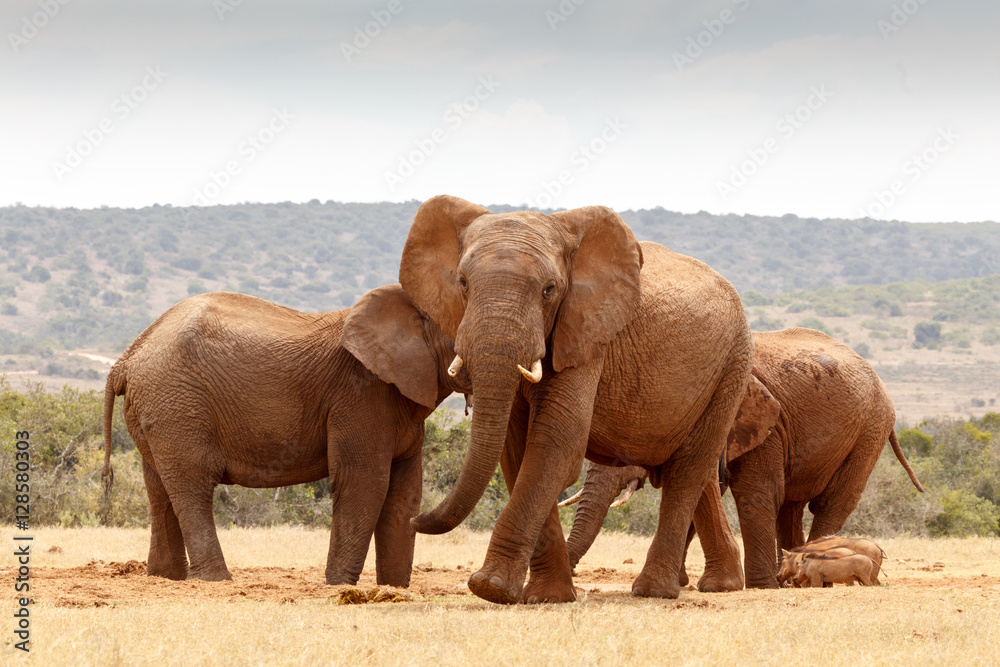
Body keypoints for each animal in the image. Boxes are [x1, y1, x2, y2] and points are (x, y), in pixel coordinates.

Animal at [102, 284, 472, 588]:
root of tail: (126, 358)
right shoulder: (360, 395)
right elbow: (365, 482)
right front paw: (338, 587)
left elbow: (405, 492)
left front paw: (394, 589)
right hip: (177, 404)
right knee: (193, 484)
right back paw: (217, 581)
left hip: (157, 408)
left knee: (159, 489)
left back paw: (165, 578)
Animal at [394, 194, 752, 604]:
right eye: (463, 283)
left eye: (550, 289)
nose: (414, 518)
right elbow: (516, 450)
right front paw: (545, 596)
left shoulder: (588, 333)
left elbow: (556, 441)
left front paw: (490, 588)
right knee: (698, 469)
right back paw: (721, 585)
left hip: (733, 365)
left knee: (688, 470)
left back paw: (653, 591)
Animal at [556, 328, 920, 588]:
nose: (575, 578)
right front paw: (683, 583)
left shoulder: (767, 427)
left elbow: (753, 494)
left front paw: (758, 586)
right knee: (790, 507)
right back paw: (792, 580)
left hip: (869, 430)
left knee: (831, 503)